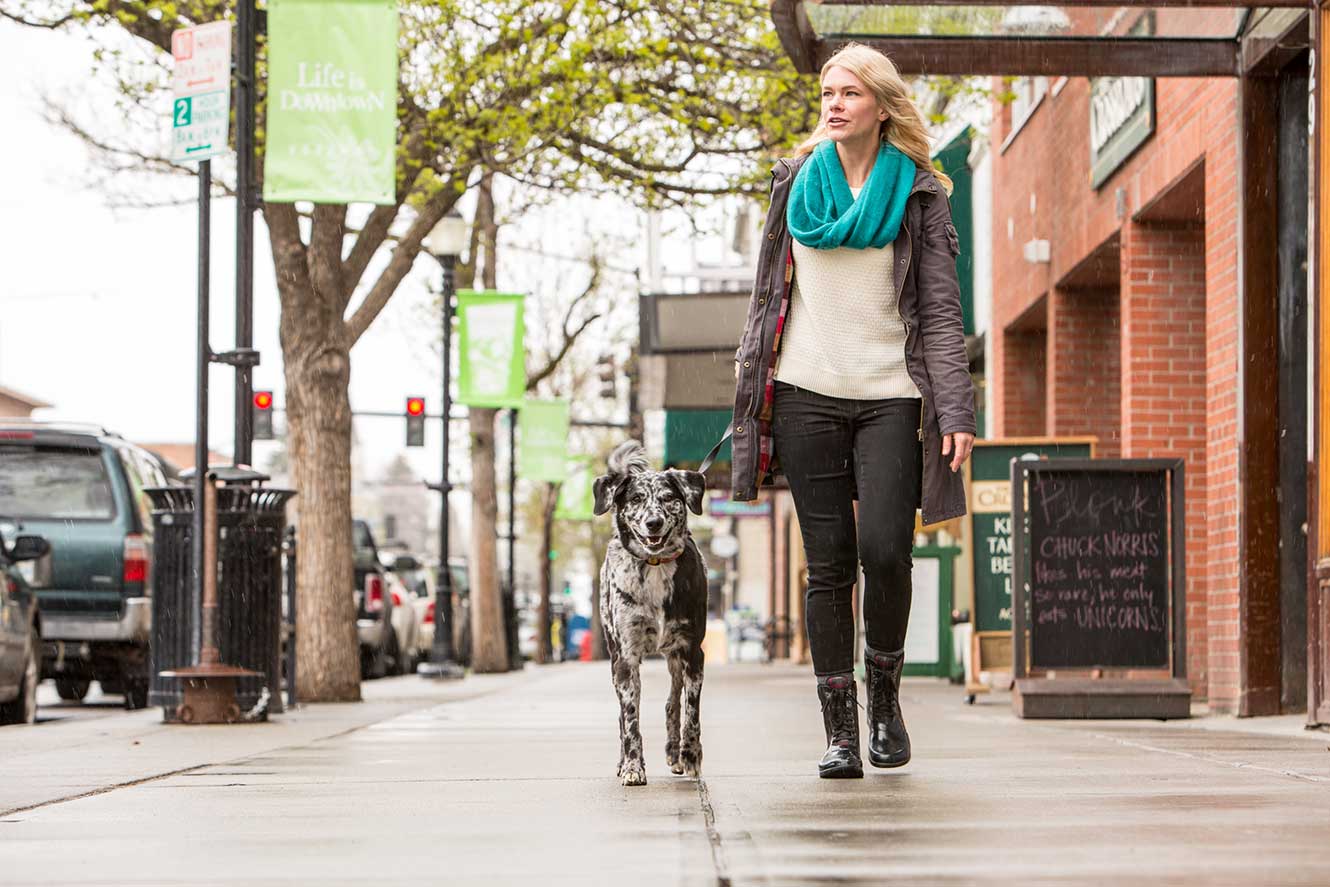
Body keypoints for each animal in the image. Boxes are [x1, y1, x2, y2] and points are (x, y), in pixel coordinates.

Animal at [598, 441, 712, 781]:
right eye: (635, 499)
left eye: (669, 498)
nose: (653, 523)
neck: (655, 565)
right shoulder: (626, 658)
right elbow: (630, 718)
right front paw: (633, 767)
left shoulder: (692, 652)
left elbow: (691, 711)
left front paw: (690, 754)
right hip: (614, 657)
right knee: (624, 717)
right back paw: (623, 761)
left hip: (675, 659)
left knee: (672, 702)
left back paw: (675, 752)